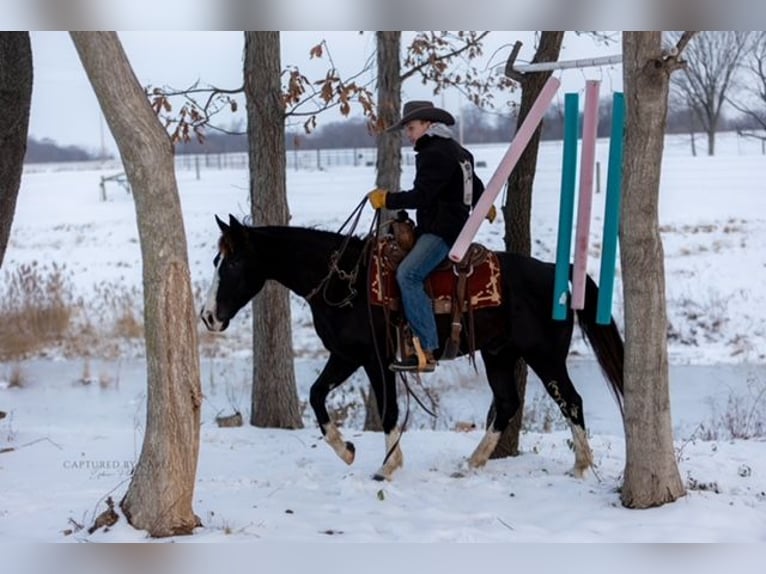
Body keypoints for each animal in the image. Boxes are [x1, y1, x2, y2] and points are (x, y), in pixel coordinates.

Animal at [200, 214, 625, 481]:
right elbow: (318, 395)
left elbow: (388, 410)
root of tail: (557, 272)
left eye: (233, 263)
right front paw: (346, 449)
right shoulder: (346, 356)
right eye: (217, 259)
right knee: (506, 404)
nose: (207, 316)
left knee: (571, 401)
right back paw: (471, 463)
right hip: (499, 355)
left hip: (545, 356)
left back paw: (581, 466)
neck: (345, 281)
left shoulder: (375, 360)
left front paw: (387, 467)